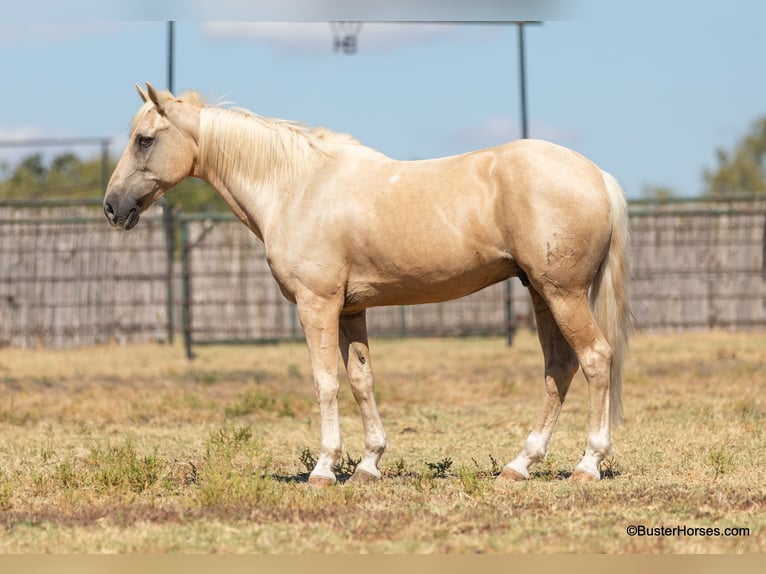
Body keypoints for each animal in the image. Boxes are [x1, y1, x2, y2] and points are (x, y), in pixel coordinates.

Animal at [104, 83, 631, 486]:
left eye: (145, 140)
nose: (112, 207)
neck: (296, 187)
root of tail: (597, 176)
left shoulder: (316, 305)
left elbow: (325, 383)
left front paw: (324, 469)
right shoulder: (350, 310)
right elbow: (361, 380)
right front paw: (369, 464)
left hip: (562, 294)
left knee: (594, 359)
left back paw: (587, 464)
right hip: (541, 293)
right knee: (559, 368)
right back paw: (520, 464)